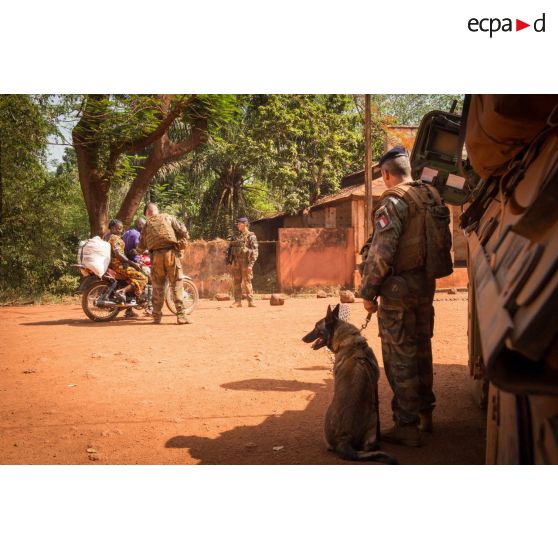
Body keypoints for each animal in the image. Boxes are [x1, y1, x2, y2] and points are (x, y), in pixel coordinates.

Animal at [302, 304, 398, 466]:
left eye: (316, 327)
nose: (302, 338)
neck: (351, 341)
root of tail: (343, 438)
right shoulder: (375, 386)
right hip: (373, 416)